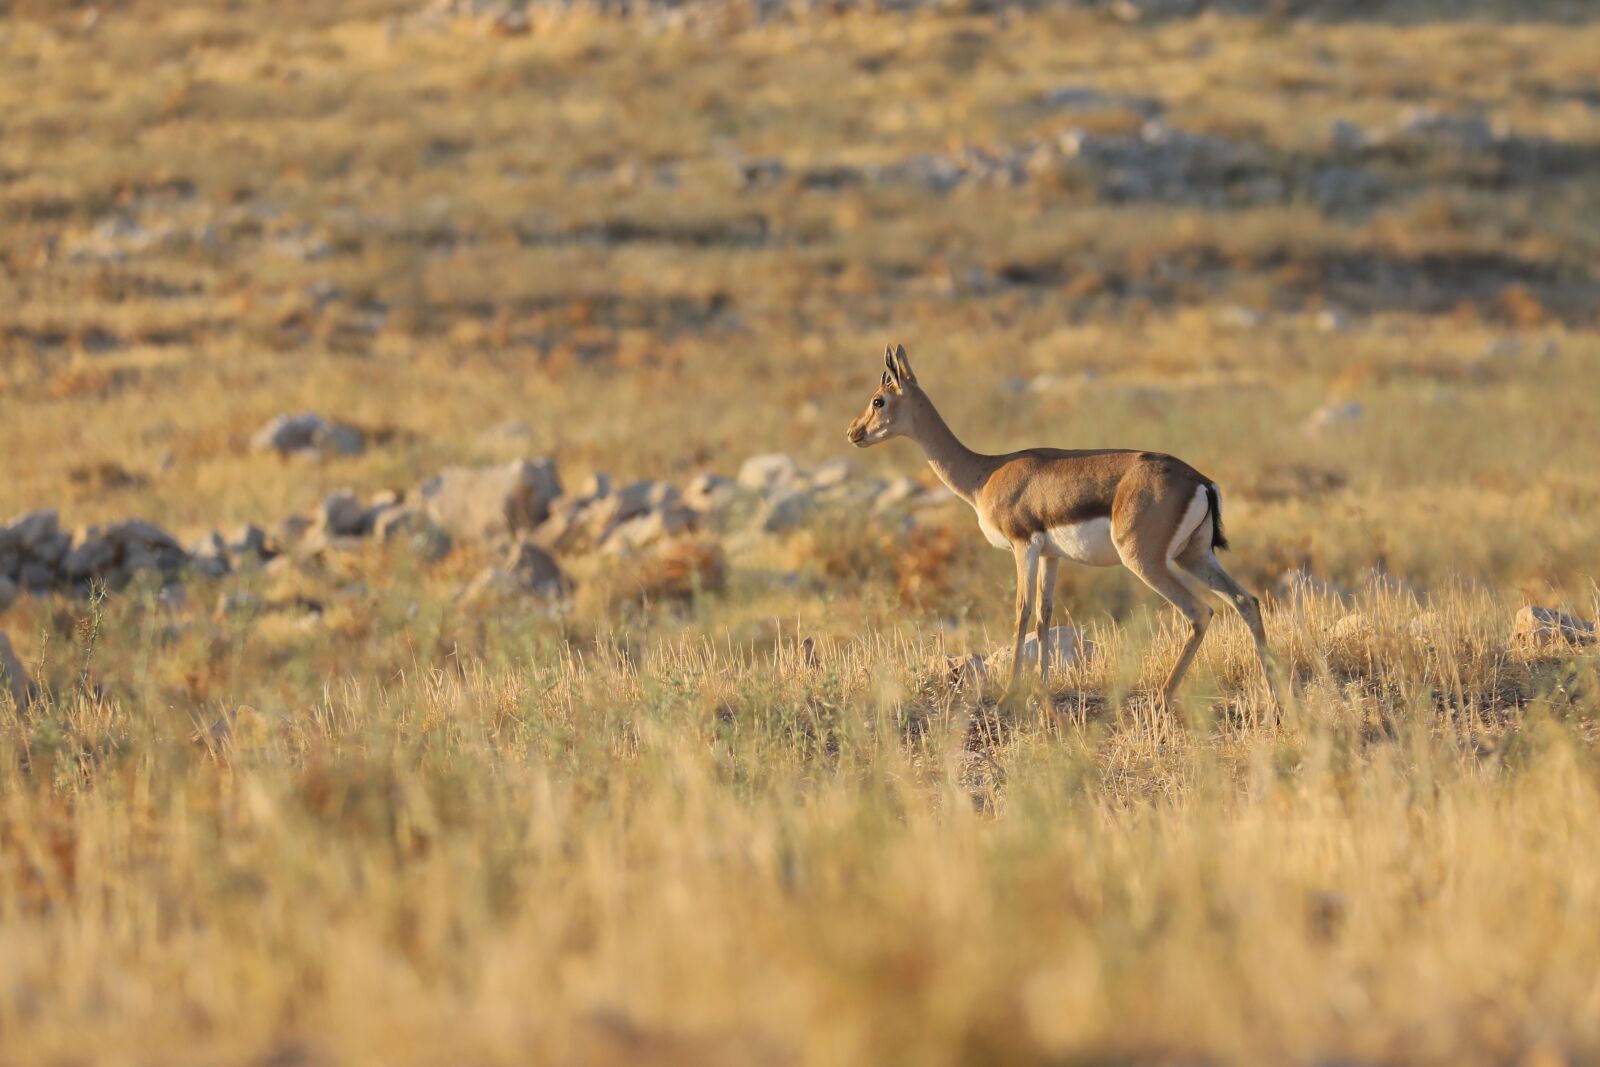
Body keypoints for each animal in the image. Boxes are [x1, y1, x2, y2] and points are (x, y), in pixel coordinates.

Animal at [846, 344, 1273, 706]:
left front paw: (1010, 694)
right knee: (1245, 601)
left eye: (878, 399)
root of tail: (1199, 480)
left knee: (1199, 612)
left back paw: (1162, 698)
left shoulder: (1024, 548)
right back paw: (1275, 699)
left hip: (1147, 562)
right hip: (1194, 556)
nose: (853, 433)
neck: (985, 475)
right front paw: (1040, 691)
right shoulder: (1052, 556)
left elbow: (1021, 611)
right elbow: (1045, 615)